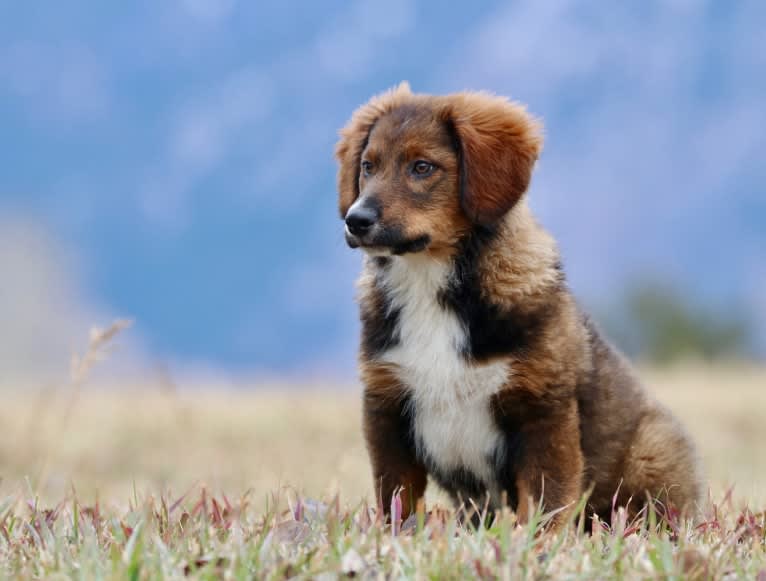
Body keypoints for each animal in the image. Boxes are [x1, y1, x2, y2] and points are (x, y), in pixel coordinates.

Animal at [332, 82, 704, 532]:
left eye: (422, 167)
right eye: (368, 166)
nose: (356, 220)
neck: (430, 282)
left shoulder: (542, 412)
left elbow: (546, 506)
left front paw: (539, 545)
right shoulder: (386, 409)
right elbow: (397, 502)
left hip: (652, 451)